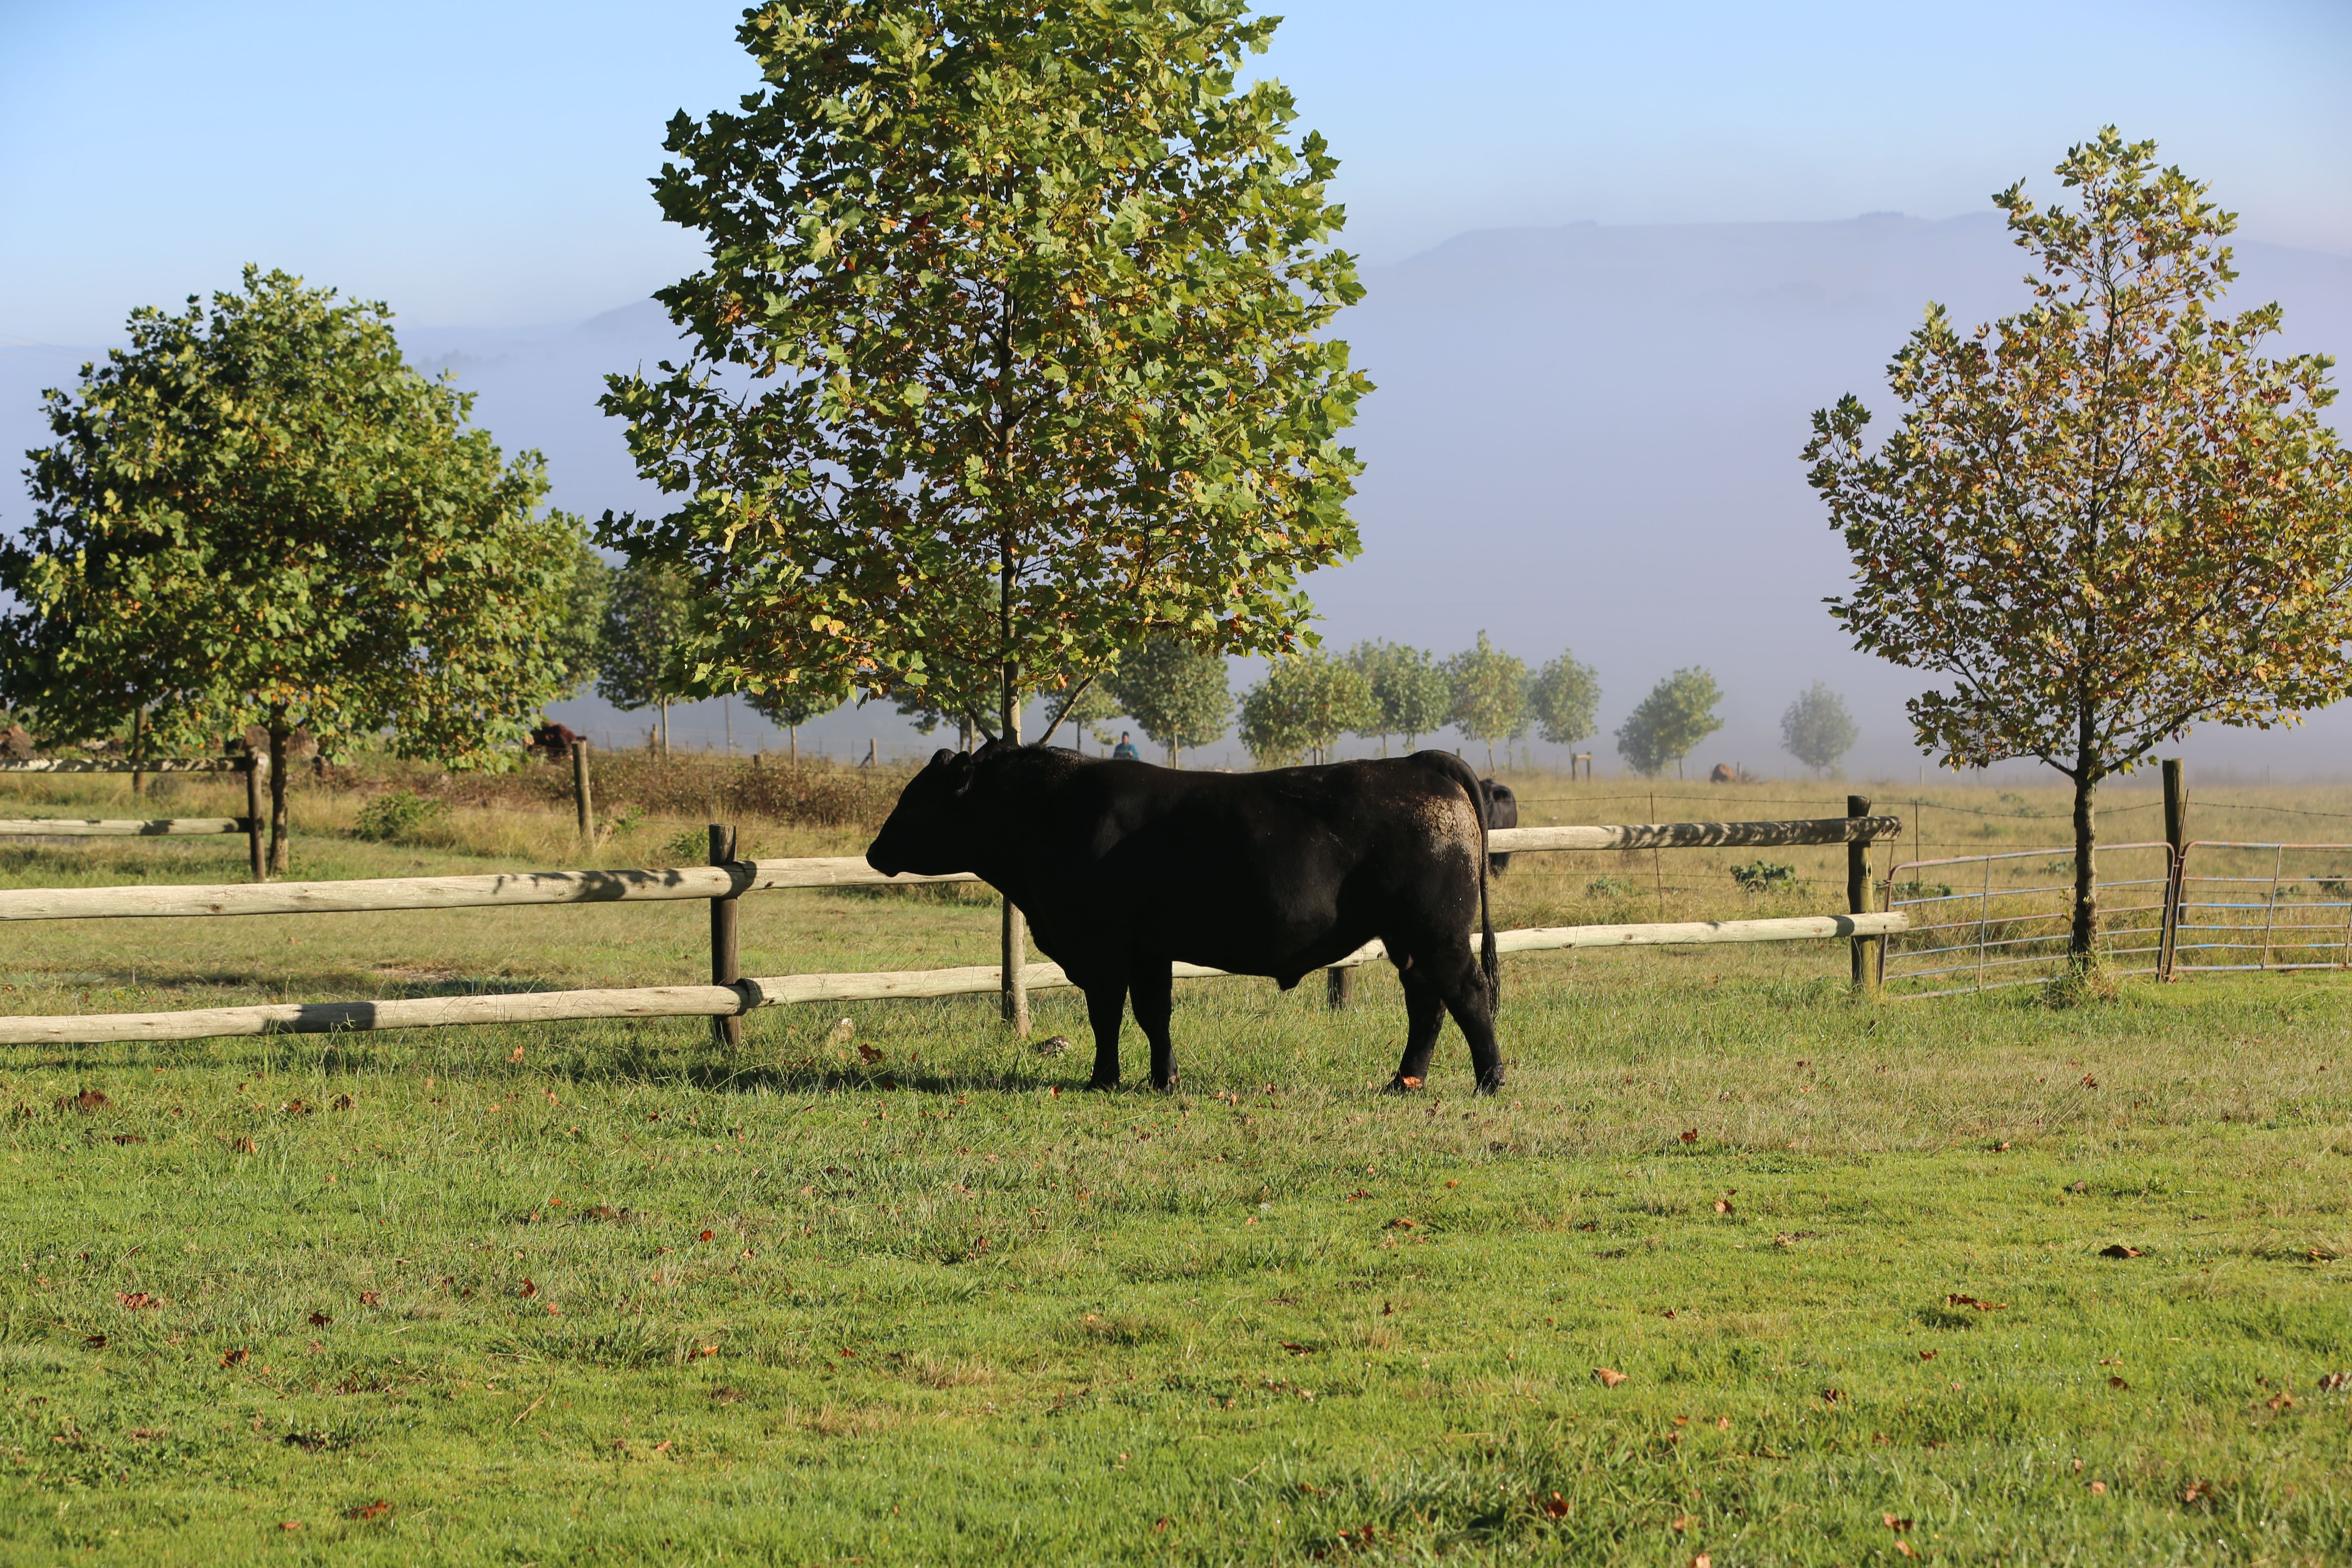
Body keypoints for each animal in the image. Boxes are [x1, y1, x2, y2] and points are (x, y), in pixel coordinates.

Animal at [865, 742, 1503, 1095]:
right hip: (1410, 939)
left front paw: (1103, 1080)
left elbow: (1107, 1016)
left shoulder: (1101, 946)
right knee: (1427, 1005)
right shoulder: (1149, 948)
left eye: (914, 800)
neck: (1053, 812)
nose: (875, 852)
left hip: (1437, 932)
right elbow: (1154, 1016)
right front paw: (1162, 1080)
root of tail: (1419, 764)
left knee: (1468, 995)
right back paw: (1403, 1083)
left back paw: (1489, 1080)